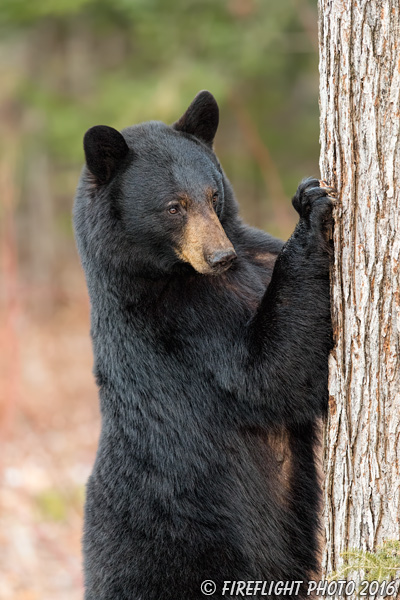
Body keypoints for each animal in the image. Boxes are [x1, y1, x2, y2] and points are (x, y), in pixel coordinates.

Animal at [73, 90, 332, 600]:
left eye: (213, 195)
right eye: (173, 207)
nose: (220, 256)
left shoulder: (250, 252)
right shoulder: (179, 327)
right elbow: (266, 374)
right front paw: (310, 210)